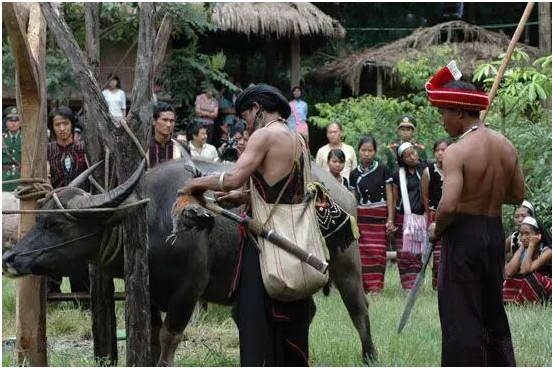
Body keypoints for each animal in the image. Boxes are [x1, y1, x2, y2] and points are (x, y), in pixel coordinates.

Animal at [2, 154, 376, 364]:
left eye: (55, 224)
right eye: (39, 216)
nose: (11, 258)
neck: (152, 221)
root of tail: (339, 188)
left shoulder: (189, 290)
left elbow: (170, 338)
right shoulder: (151, 293)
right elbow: (153, 336)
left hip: (344, 263)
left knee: (358, 306)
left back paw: (369, 356)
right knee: (306, 312)